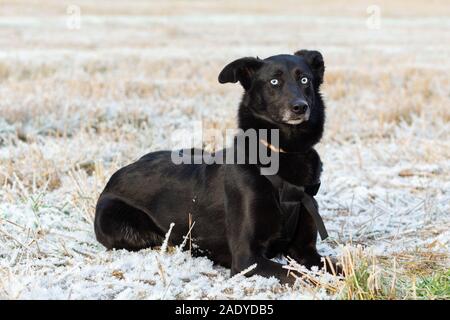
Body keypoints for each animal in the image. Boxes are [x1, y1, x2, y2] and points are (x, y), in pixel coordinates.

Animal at [94, 49, 338, 282]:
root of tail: (116, 176)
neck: (282, 152)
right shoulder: (246, 258)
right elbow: (300, 275)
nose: (300, 107)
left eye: (304, 80)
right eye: (274, 82)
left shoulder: (306, 251)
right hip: (122, 226)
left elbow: (333, 267)